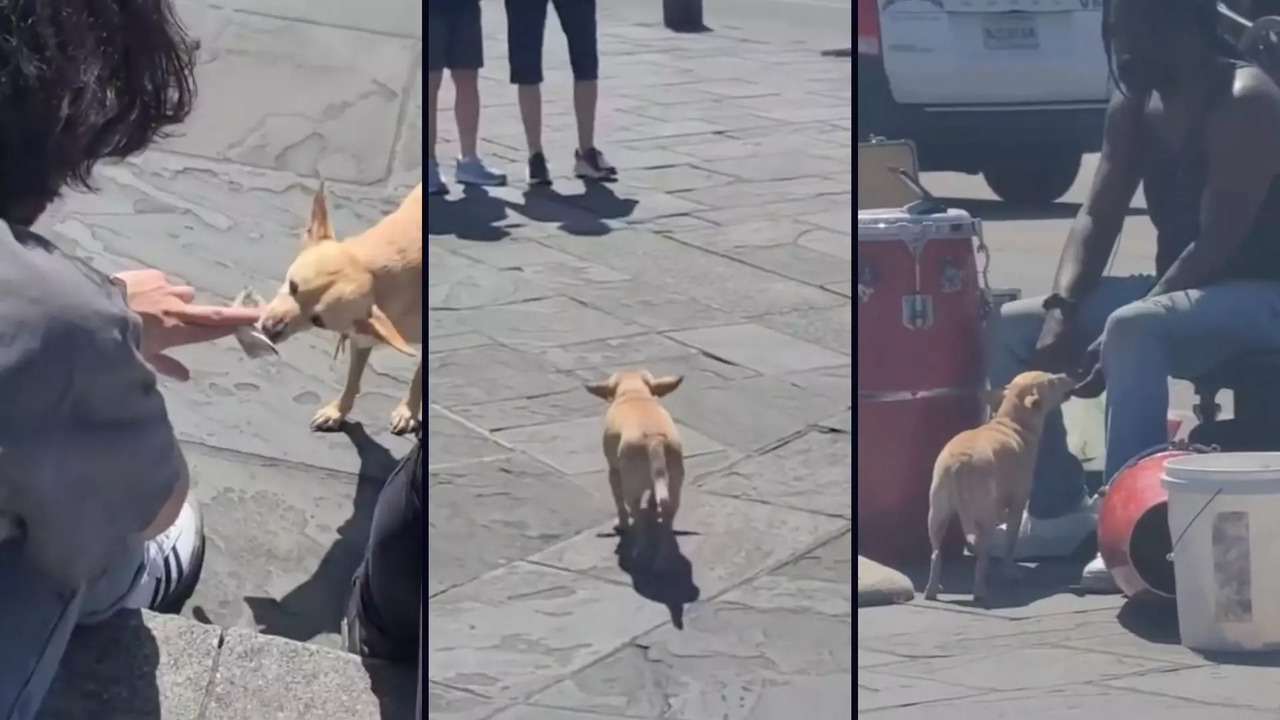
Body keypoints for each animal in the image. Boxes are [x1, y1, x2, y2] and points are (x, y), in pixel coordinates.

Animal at [257, 181, 422, 435]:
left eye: (318, 321)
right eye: (293, 286)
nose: (269, 328)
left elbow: (419, 379)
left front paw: (408, 411)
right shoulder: (362, 336)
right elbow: (352, 379)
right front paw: (337, 411)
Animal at [586, 368, 691, 566]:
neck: (634, 391)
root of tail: (654, 440)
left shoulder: (614, 472)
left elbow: (619, 503)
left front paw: (622, 524)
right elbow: (652, 497)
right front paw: (651, 508)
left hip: (631, 487)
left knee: (637, 517)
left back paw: (639, 552)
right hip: (674, 485)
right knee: (667, 514)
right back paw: (663, 557)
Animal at [921, 368, 1080, 599]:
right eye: (1051, 381)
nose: (1070, 375)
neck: (1011, 421)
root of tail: (959, 464)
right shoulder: (1018, 502)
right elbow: (1010, 543)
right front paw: (1009, 572)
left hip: (937, 514)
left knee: (936, 554)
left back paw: (932, 589)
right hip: (982, 516)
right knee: (981, 556)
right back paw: (980, 589)